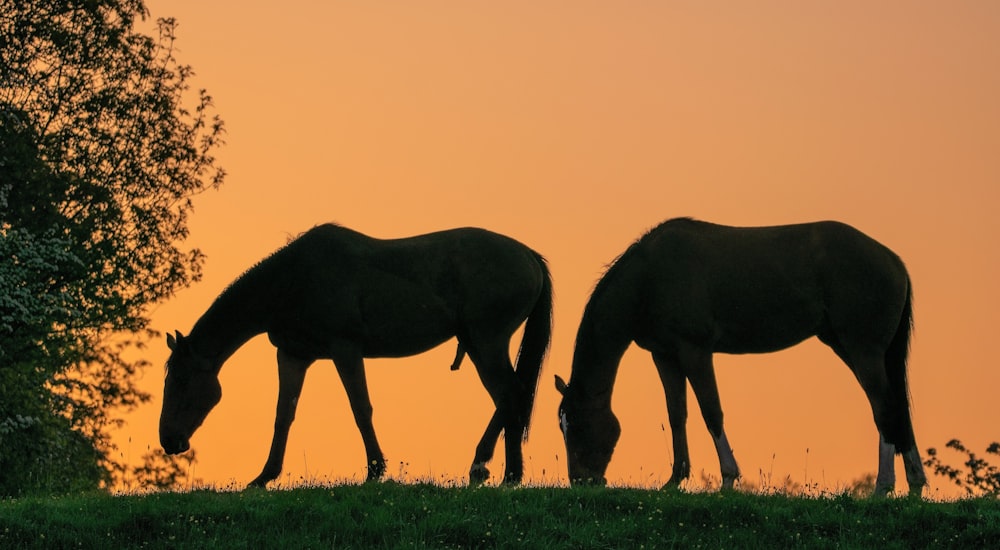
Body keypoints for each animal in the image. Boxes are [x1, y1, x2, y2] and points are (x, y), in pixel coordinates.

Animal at [159, 224, 552, 488]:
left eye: (181, 380)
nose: (168, 440)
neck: (293, 280)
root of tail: (529, 255)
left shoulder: (345, 348)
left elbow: (360, 408)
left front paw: (375, 469)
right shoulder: (292, 355)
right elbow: (283, 415)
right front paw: (264, 476)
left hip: (487, 342)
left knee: (510, 395)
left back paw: (481, 465)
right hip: (477, 344)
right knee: (511, 399)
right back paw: (510, 475)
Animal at [552, 218, 924, 498]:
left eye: (579, 423)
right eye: (562, 426)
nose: (580, 481)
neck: (650, 278)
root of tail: (894, 261)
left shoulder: (695, 352)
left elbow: (711, 412)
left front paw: (728, 478)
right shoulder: (665, 356)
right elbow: (677, 415)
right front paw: (674, 480)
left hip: (863, 350)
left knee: (884, 407)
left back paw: (883, 486)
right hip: (851, 347)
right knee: (896, 408)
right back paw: (915, 483)